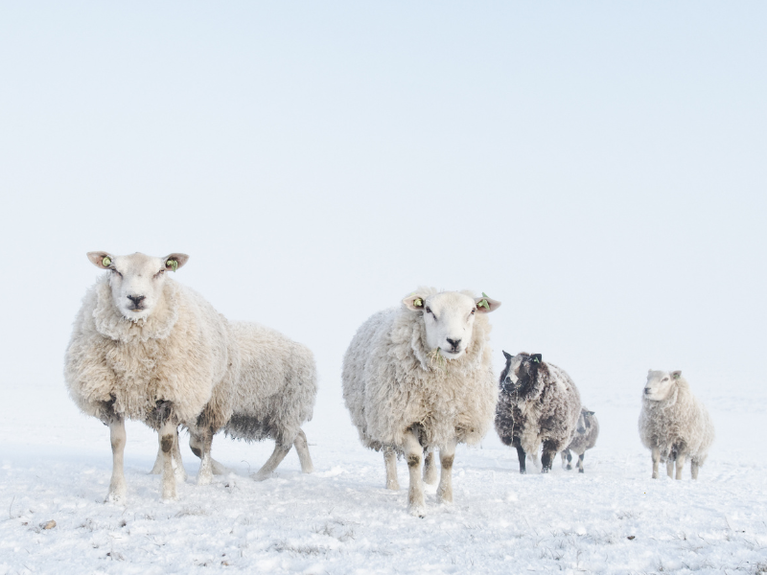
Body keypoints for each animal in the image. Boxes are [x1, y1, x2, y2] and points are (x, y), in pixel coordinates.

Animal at [65, 252, 238, 502]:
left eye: (160, 271)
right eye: (114, 270)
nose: (136, 297)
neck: (135, 359)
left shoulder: (171, 395)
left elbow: (166, 443)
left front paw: (169, 493)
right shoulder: (111, 396)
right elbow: (117, 443)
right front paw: (115, 495)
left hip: (211, 397)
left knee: (205, 438)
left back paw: (203, 477)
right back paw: (176, 472)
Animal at [185, 321, 317, 480]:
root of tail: (307, 355)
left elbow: (197, 445)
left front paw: (224, 471)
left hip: (286, 408)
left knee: (285, 444)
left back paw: (260, 475)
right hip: (272, 414)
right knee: (299, 436)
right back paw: (308, 471)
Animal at [342, 288, 501, 516]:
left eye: (472, 311)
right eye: (428, 310)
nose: (454, 341)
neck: (442, 386)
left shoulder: (453, 419)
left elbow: (447, 459)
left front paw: (445, 499)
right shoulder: (404, 418)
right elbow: (414, 458)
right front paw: (416, 505)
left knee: (430, 453)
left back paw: (430, 480)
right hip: (383, 417)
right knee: (389, 452)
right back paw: (392, 485)